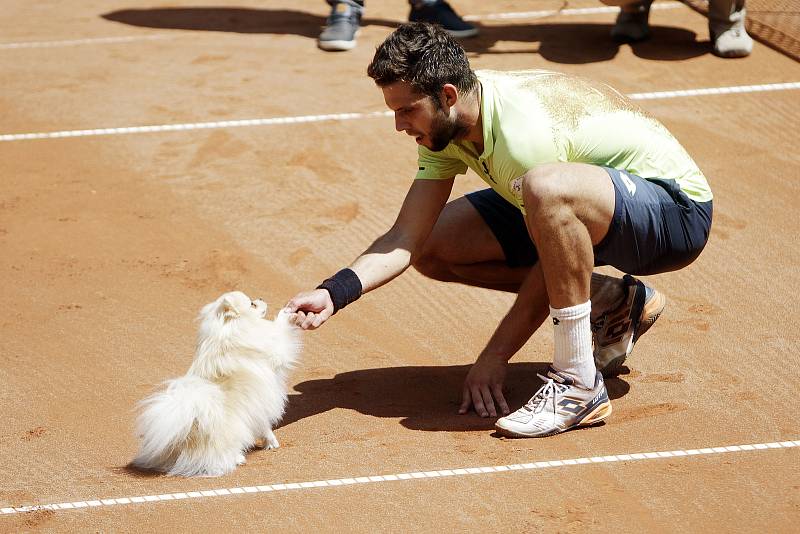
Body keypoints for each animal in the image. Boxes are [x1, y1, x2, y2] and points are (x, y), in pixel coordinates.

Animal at [133, 292, 302, 480]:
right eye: (252, 304)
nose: (261, 298)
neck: (230, 329)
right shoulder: (275, 352)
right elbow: (280, 331)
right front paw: (286, 313)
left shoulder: (257, 409)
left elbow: (264, 426)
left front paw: (270, 442)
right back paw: (238, 458)